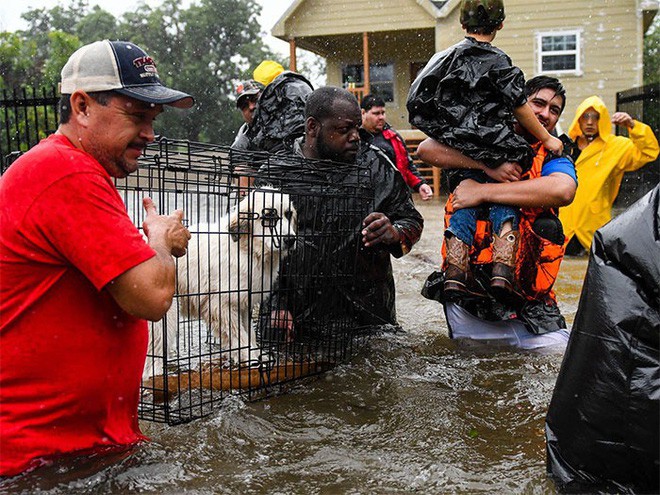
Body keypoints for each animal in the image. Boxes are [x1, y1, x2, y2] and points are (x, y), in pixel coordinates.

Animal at [147, 186, 300, 380]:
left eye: (288, 214)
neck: (246, 249)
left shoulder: (242, 302)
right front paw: (250, 357)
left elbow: (249, 333)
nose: (290, 239)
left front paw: (255, 354)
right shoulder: (220, 305)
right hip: (164, 315)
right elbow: (239, 335)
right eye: (269, 217)